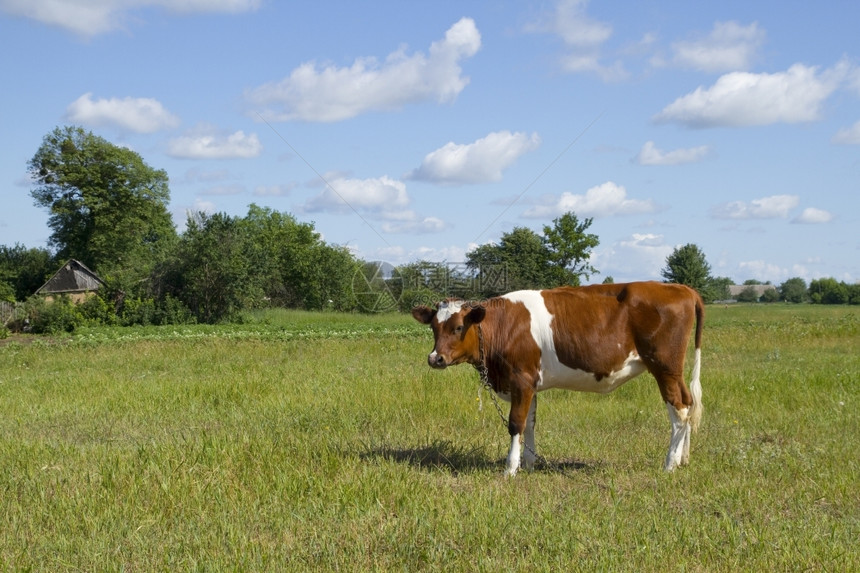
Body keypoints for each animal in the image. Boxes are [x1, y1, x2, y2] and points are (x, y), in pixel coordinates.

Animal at [412, 280, 704, 474]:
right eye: (434, 327)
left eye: (458, 327)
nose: (435, 358)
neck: (503, 325)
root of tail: (680, 288)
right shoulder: (529, 384)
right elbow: (530, 423)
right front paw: (528, 464)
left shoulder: (521, 379)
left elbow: (515, 423)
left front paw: (510, 469)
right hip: (673, 371)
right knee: (689, 404)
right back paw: (683, 459)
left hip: (665, 367)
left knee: (679, 410)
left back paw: (669, 465)